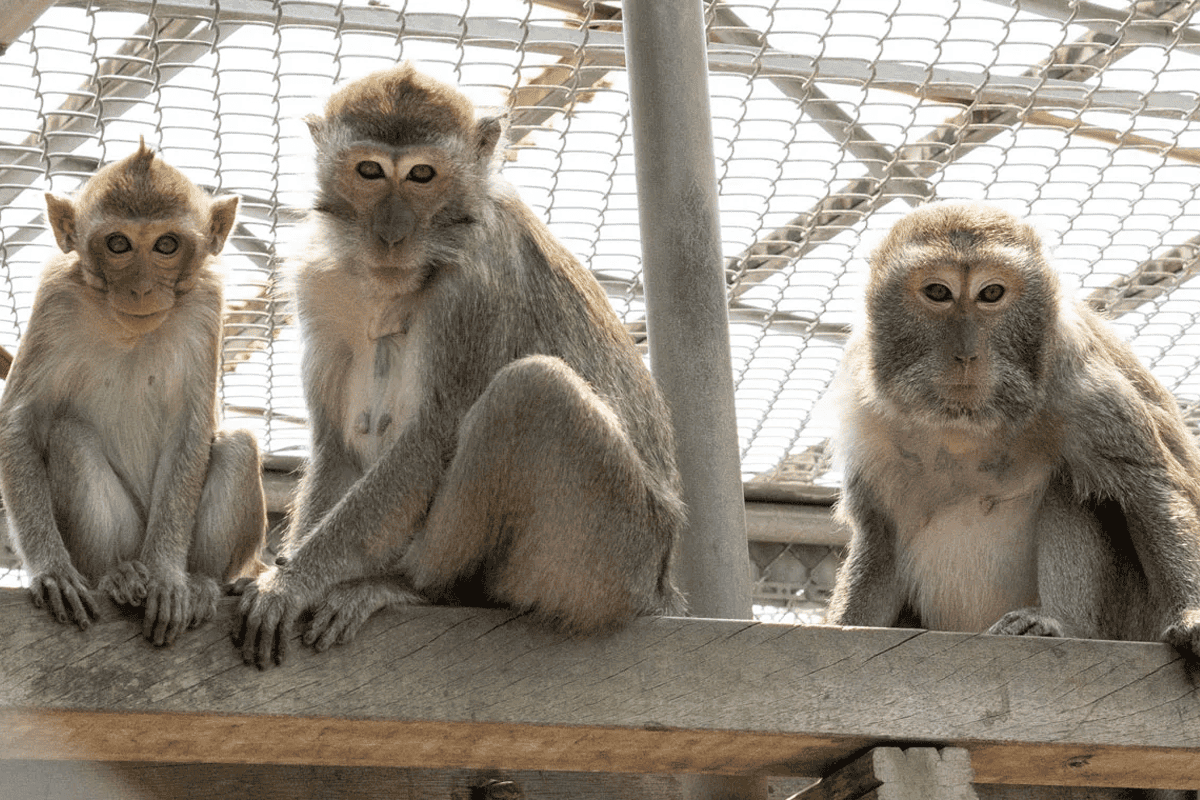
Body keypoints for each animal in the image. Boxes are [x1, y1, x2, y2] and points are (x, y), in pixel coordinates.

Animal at [0, 141, 268, 646]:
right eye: (118, 244)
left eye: (166, 244)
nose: (141, 288)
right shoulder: (55, 296)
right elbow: (18, 424)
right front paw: (51, 570)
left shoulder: (205, 304)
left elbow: (191, 430)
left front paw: (167, 577)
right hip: (124, 535)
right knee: (68, 435)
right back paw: (117, 575)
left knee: (240, 446)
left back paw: (199, 581)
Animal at [232, 63, 685, 669]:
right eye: (370, 171)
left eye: (422, 175)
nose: (392, 232)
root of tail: (661, 587)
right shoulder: (321, 285)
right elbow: (336, 446)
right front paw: (288, 572)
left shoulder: (476, 280)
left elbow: (431, 437)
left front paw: (291, 583)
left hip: (616, 559)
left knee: (532, 390)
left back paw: (415, 587)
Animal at [824, 203, 1199, 798]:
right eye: (938, 292)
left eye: (992, 294)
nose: (966, 354)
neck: (967, 426)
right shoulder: (866, 409)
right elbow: (880, 539)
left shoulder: (1077, 377)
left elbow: (1149, 487)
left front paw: (1194, 617)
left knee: (1074, 487)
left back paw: (1059, 627)